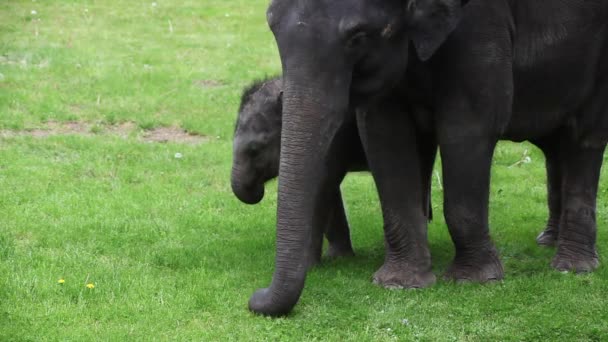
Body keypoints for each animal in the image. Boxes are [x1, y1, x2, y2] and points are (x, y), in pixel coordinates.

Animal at [248, 0, 608, 316]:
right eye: (271, 25)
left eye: (358, 37)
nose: (254, 298)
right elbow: (384, 132)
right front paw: (400, 284)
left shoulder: (482, 24)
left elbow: (468, 126)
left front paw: (474, 281)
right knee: (556, 146)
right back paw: (549, 242)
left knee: (584, 137)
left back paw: (572, 267)